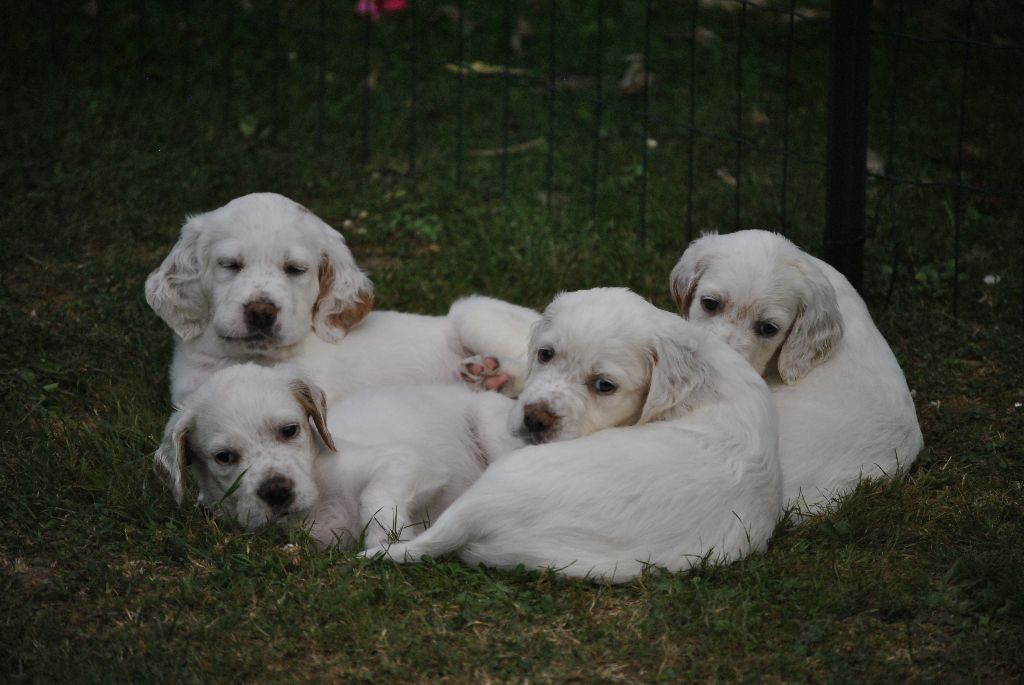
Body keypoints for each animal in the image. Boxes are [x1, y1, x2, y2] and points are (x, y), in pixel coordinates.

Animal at [152, 362, 524, 544]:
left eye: (290, 430)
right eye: (224, 457)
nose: (277, 491)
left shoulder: (411, 460)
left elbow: (374, 494)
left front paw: (385, 539)